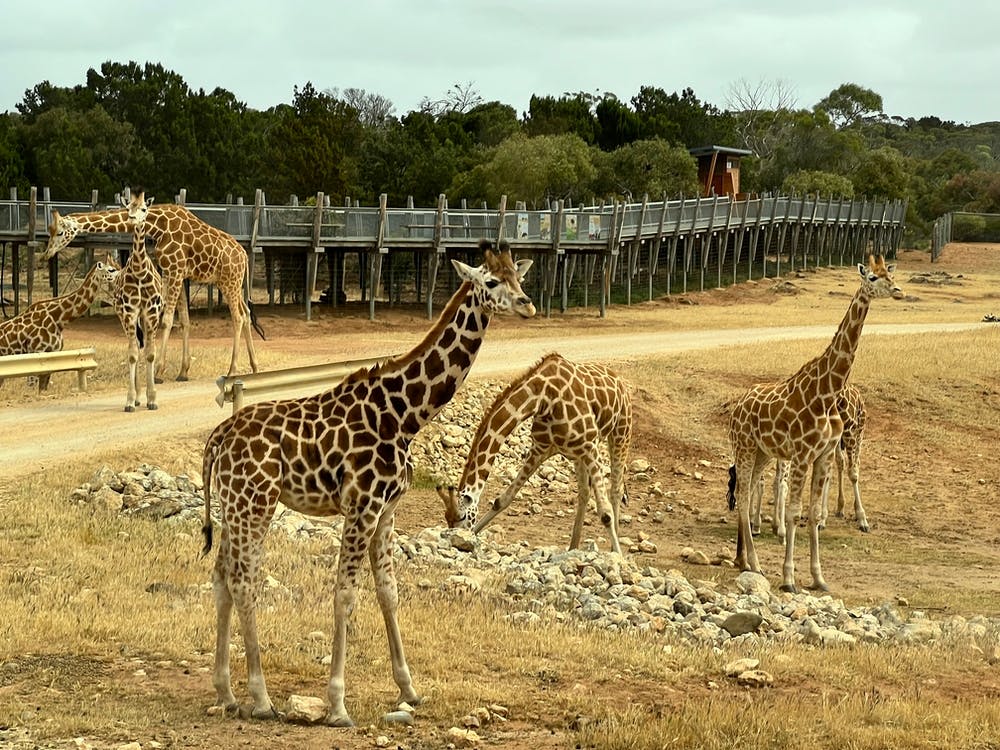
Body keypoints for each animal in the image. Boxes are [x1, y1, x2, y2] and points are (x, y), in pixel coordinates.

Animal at [45, 196, 262, 381]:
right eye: (50, 231)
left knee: (238, 317)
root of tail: (244, 256)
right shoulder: (177, 272)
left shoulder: (173, 270)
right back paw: (254, 366)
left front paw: (158, 371)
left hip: (229, 282)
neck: (158, 226)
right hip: (231, 282)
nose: (47, 253)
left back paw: (232, 370)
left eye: (60, 232)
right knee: (246, 313)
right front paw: (183, 372)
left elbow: (166, 321)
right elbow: (184, 321)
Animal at [200, 240, 534, 726]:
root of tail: (218, 437)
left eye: (518, 277)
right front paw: (338, 704)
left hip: (233, 504)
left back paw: (226, 693)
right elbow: (344, 594)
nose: (527, 304)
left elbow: (388, 593)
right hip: (256, 502)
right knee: (244, 580)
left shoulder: (388, 509)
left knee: (222, 576)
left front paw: (410, 689)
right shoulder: (362, 505)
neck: (406, 414)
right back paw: (260, 699)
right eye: (491, 281)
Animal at [436, 353, 631, 554]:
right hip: (578, 453)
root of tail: (619, 381)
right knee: (584, 492)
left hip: (621, 432)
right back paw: (573, 547)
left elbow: (606, 513)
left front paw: (619, 557)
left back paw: (611, 548)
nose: (456, 538)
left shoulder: (590, 444)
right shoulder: (541, 448)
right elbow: (502, 499)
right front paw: (473, 536)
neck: (542, 398)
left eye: (462, 517)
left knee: (616, 489)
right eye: (446, 518)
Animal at [727, 255, 903, 593]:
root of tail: (734, 408)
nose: (899, 291)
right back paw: (754, 563)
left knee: (748, 489)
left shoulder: (822, 455)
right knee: (741, 495)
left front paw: (819, 578)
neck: (827, 392)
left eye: (891, 275)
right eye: (872, 277)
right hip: (744, 447)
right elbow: (795, 512)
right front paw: (788, 578)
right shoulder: (801, 454)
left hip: (762, 452)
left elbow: (811, 511)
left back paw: (744, 560)